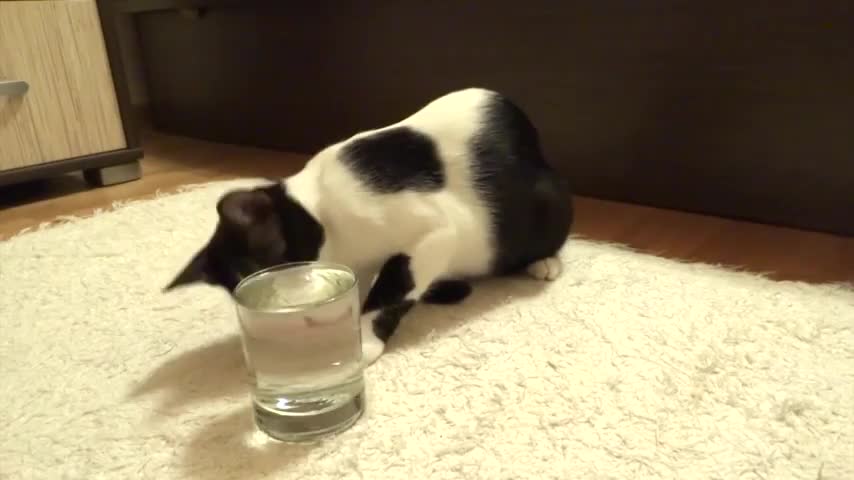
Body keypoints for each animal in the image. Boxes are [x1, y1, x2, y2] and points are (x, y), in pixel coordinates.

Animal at [166, 87, 576, 364]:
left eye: (269, 268)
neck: (326, 216)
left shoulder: (438, 229)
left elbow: (395, 285)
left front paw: (363, 339)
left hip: (545, 200)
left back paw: (543, 262)